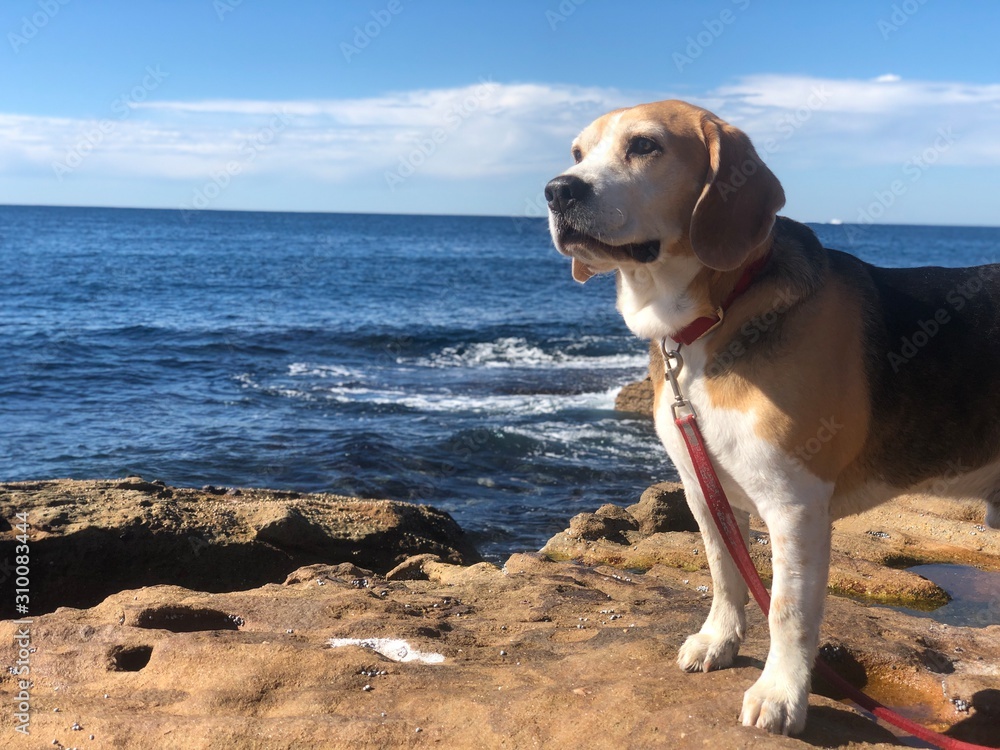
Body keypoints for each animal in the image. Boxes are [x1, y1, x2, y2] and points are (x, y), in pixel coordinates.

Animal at [548, 98, 1000, 736]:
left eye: (644, 146)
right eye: (578, 153)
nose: (557, 191)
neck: (716, 312)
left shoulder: (795, 507)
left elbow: (786, 610)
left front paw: (782, 695)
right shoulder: (701, 488)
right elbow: (724, 572)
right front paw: (719, 641)